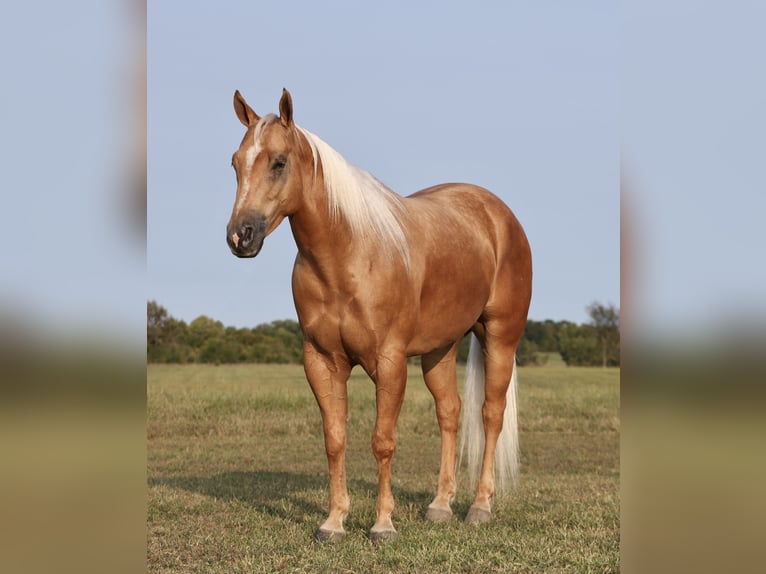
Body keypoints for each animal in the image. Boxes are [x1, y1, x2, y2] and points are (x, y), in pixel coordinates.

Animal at [225, 88, 532, 544]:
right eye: (235, 162)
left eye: (279, 162)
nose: (239, 237)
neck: (347, 255)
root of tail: (498, 214)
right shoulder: (321, 360)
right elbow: (335, 439)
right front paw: (334, 522)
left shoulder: (388, 362)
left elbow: (382, 440)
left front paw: (382, 524)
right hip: (440, 350)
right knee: (450, 412)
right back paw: (440, 506)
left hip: (500, 337)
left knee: (490, 413)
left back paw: (479, 507)